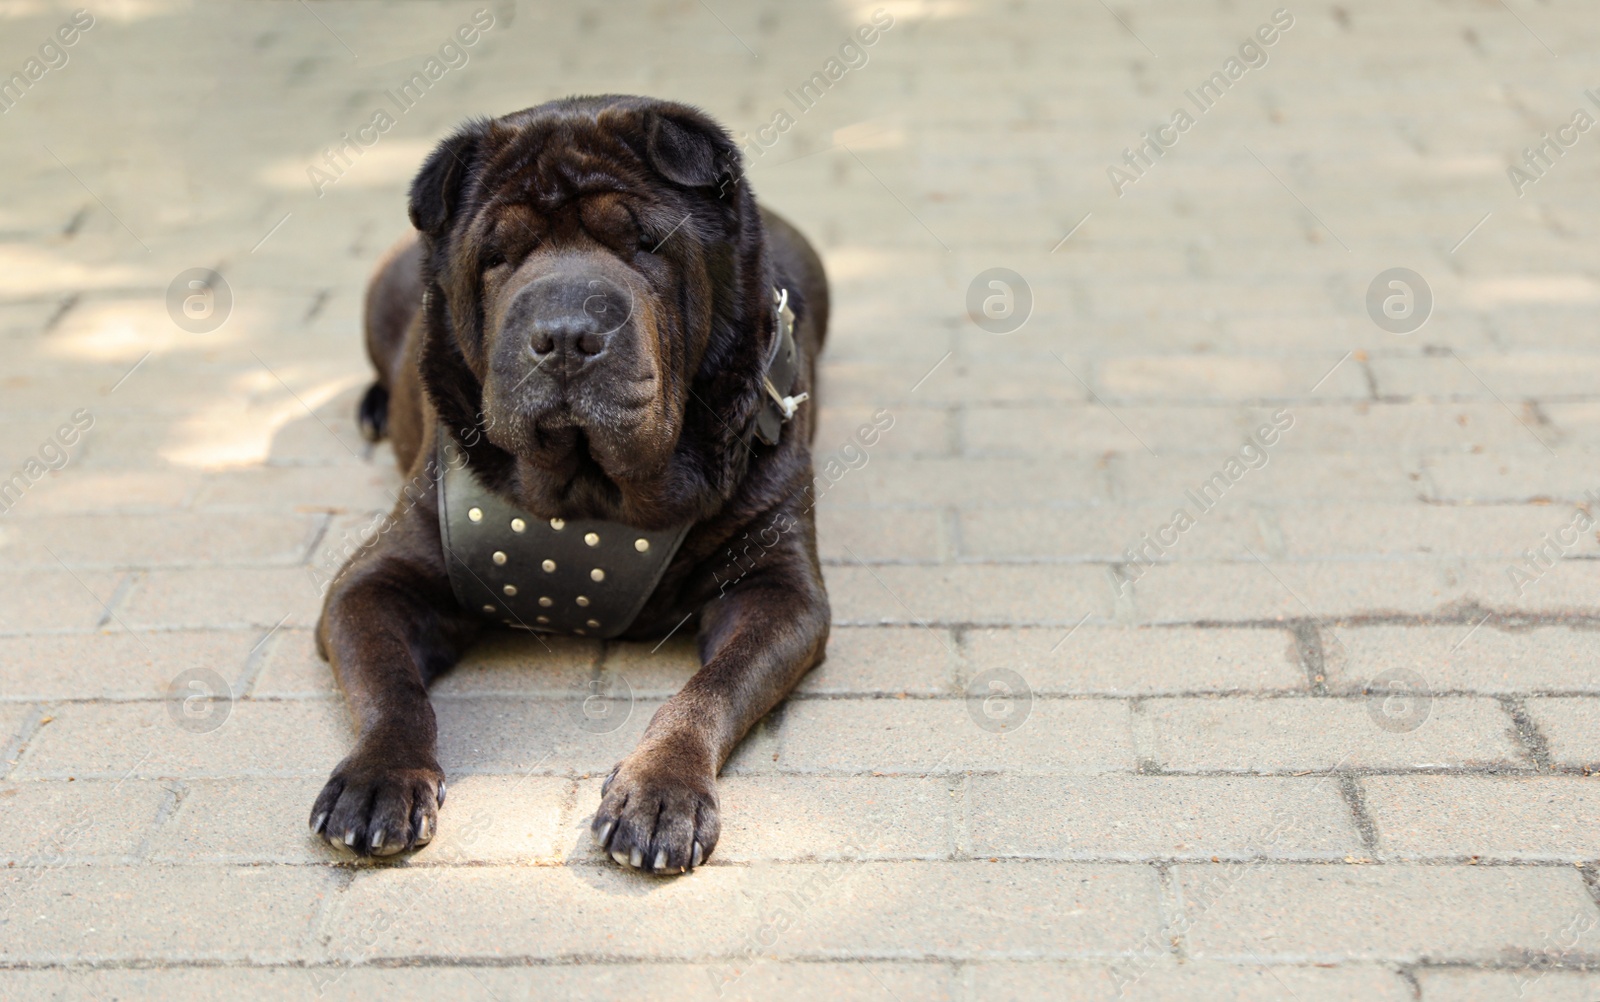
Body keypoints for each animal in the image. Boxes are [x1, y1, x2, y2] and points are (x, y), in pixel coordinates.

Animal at [313, 97, 838, 870]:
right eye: (496, 256)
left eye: (643, 243)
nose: (564, 334)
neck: (590, 492)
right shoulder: (374, 581)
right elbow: (393, 688)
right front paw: (378, 777)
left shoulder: (778, 587)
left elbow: (708, 691)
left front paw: (661, 792)